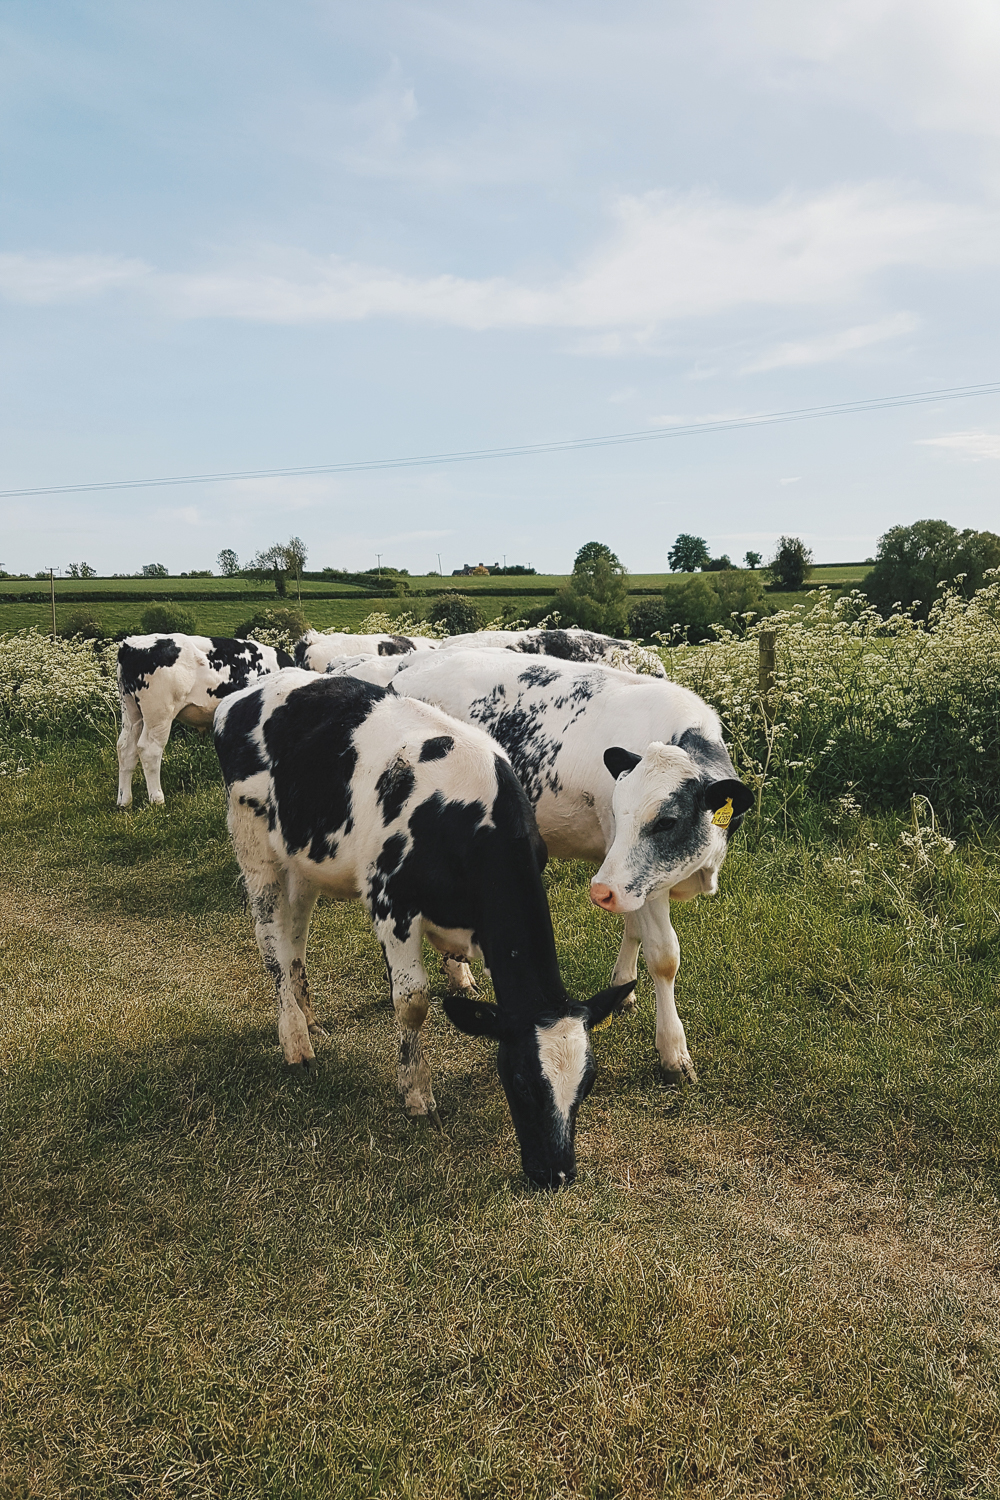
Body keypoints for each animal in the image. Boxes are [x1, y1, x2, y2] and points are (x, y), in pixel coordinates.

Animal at [116, 633, 290, 810]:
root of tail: (131, 644)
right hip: (159, 713)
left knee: (125, 748)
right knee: (149, 750)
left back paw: (124, 801)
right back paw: (157, 800)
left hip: (131, 711)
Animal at [214, 675, 629, 1188]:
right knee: (271, 938)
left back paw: (309, 1017)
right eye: (521, 1082)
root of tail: (247, 692)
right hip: (255, 845)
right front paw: (415, 1094)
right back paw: (295, 1039)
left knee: (296, 936)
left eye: (587, 1084)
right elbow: (411, 1000)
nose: (558, 1174)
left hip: (302, 859)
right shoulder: (391, 900)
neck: (465, 815)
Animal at [328, 651, 749, 1086]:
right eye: (619, 811)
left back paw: (458, 974)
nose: (599, 892)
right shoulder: (633, 874)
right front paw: (673, 1051)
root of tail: (407, 670)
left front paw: (623, 988)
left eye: (666, 821)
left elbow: (633, 929)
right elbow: (664, 956)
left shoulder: (630, 876)